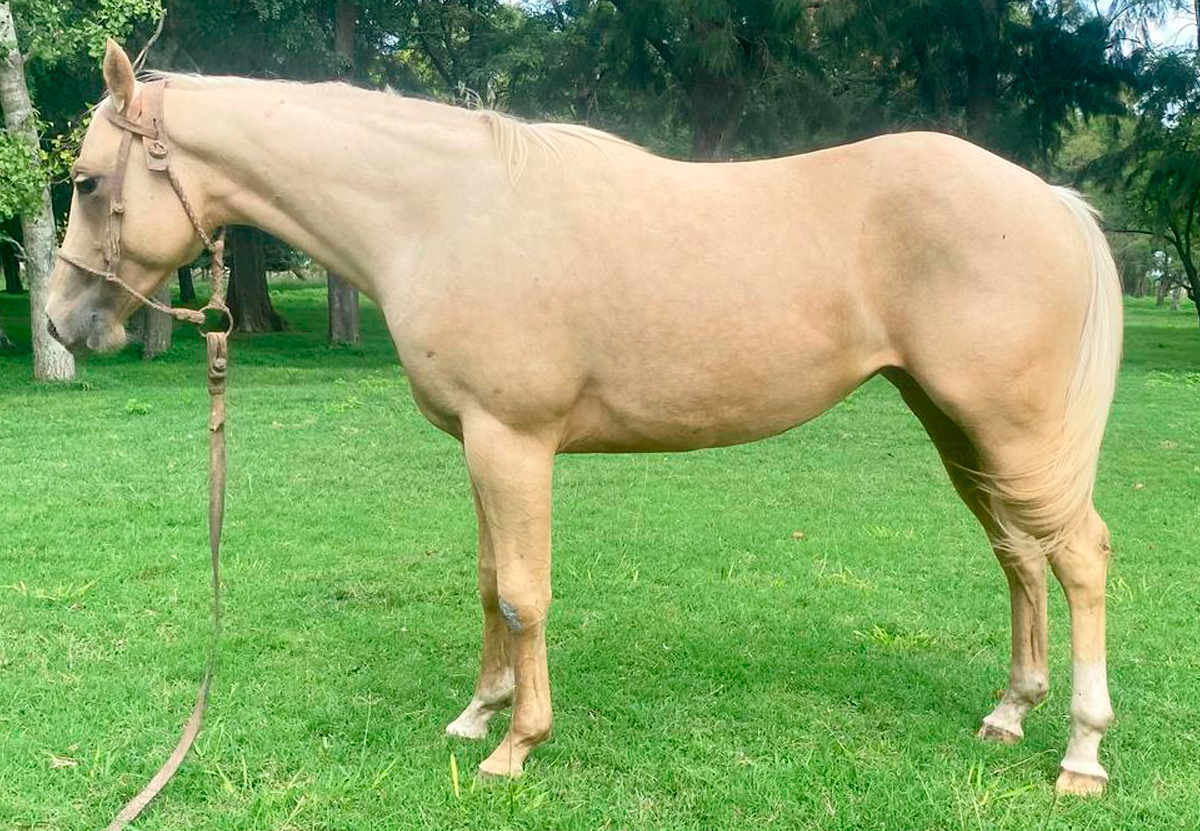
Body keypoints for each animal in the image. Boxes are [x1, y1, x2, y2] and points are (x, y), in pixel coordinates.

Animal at [47, 40, 1122, 795]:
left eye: (89, 181)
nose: (64, 321)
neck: (442, 211)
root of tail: (1047, 198)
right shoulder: (479, 445)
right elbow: (489, 582)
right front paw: (478, 713)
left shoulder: (514, 440)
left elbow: (525, 592)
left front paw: (516, 746)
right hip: (959, 428)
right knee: (1019, 554)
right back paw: (1011, 713)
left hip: (1011, 429)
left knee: (1078, 556)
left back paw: (1081, 752)